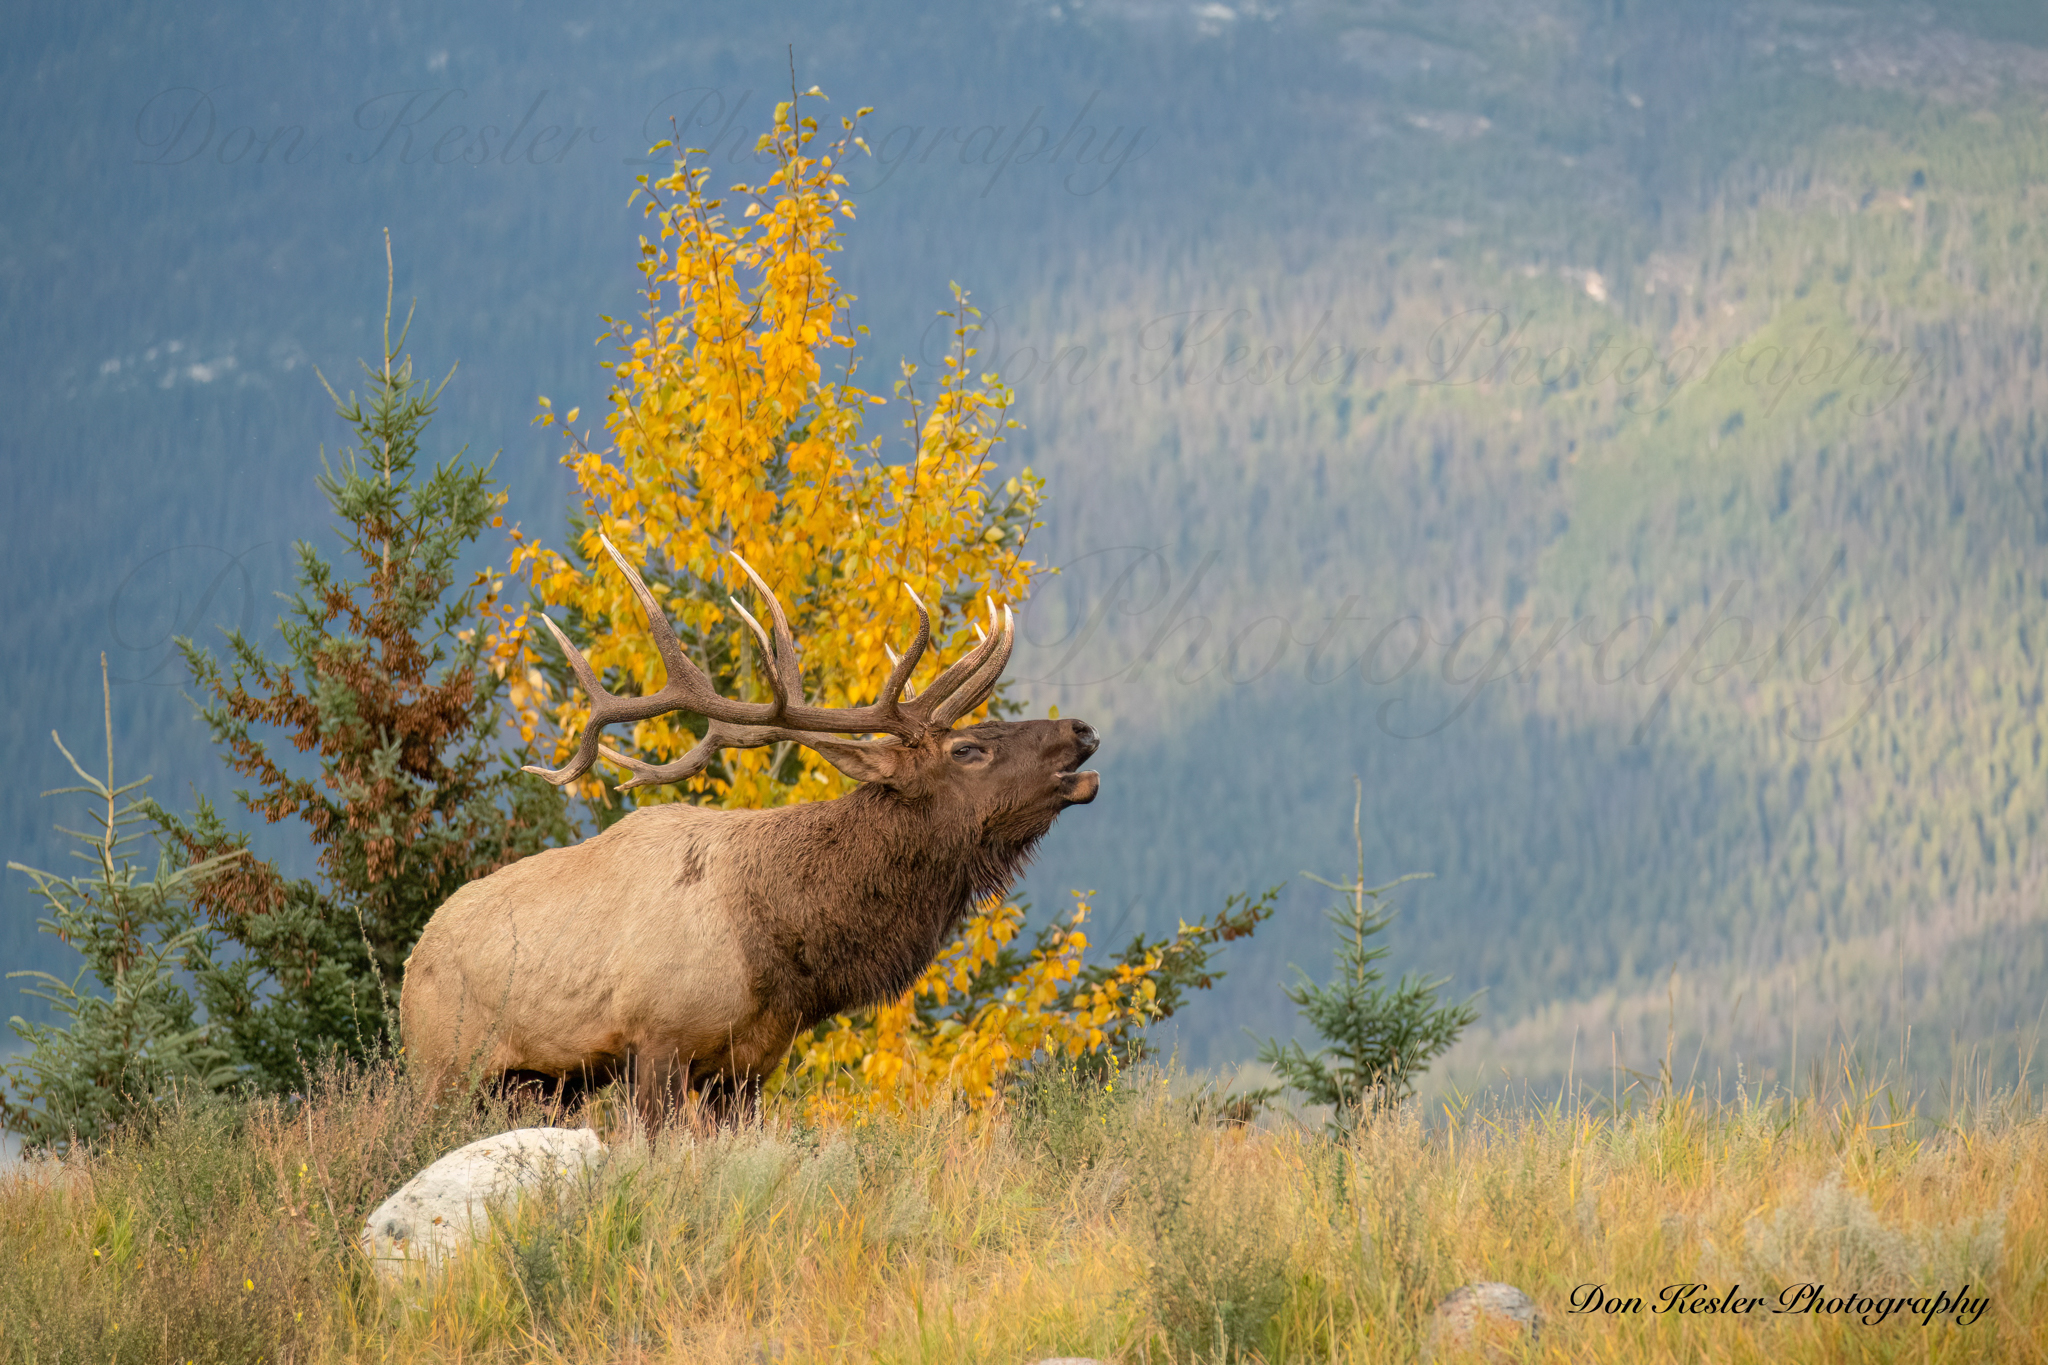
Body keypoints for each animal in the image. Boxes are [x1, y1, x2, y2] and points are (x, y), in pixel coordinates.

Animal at [403, 540, 1105, 1129]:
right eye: (967, 749)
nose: (1082, 729)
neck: (780, 950)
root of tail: (415, 958)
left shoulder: (750, 1066)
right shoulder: (655, 1040)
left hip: (537, 1082)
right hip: (440, 1066)